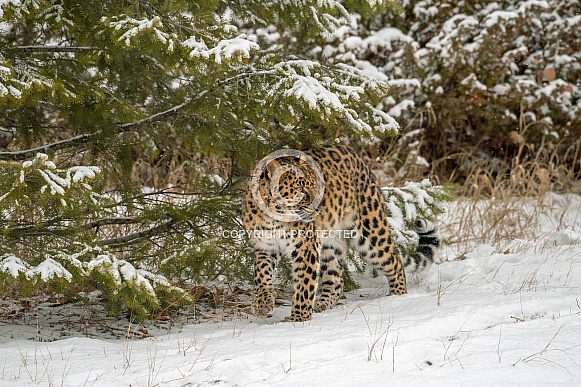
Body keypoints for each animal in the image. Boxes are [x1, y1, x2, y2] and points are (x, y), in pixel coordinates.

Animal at [241, 145, 440, 322]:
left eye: (317, 185)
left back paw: (398, 298)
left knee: (395, 262)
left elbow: (305, 283)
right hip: (331, 242)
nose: (320, 208)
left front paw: (298, 318)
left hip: (370, 234)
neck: (272, 215)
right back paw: (323, 304)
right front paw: (262, 304)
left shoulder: (306, 247)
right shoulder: (265, 246)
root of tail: (361, 161)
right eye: (301, 188)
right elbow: (262, 274)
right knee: (336, 280)